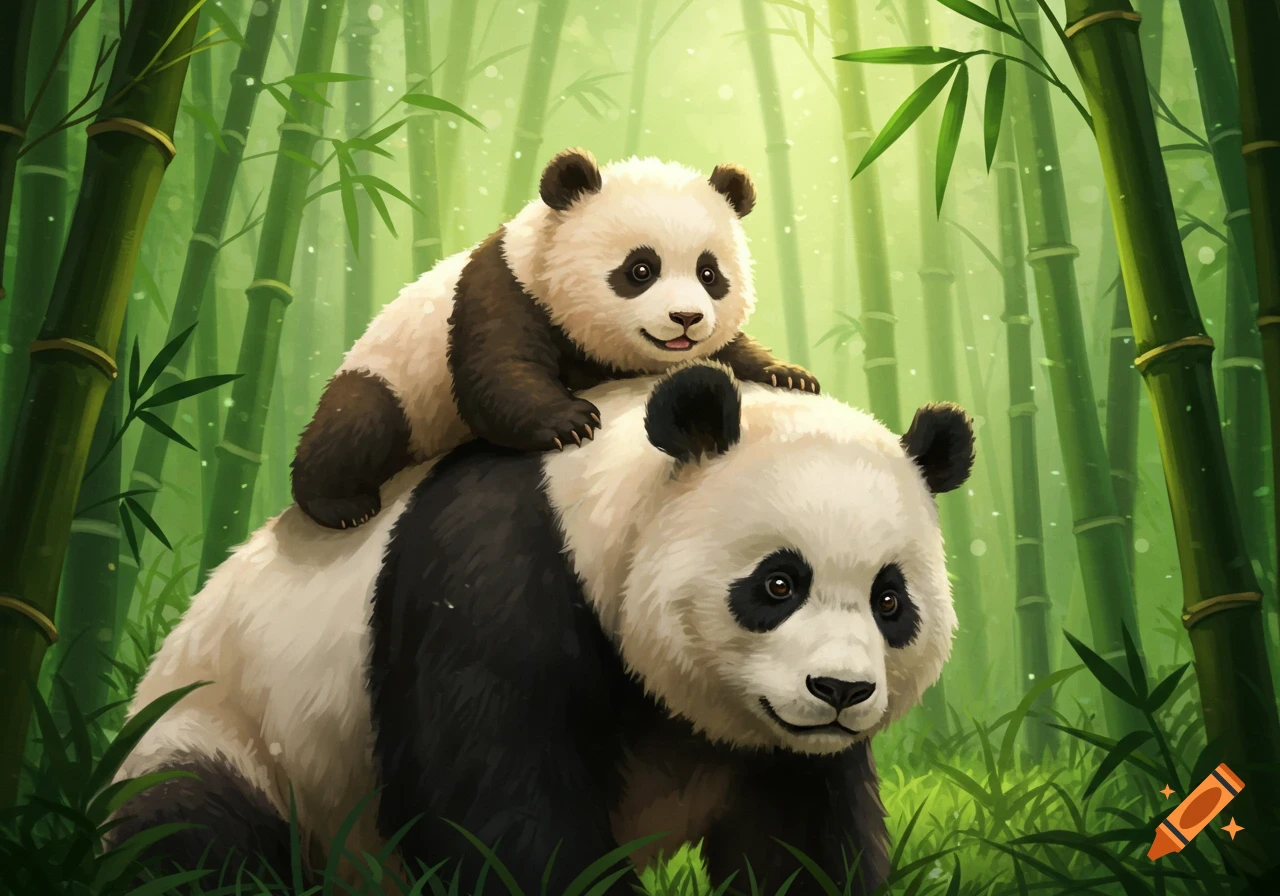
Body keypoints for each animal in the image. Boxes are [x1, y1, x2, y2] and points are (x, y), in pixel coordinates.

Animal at [112, 362, 973, 895]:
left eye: (890, 601)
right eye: (779, 583)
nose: (839, 691)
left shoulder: (786, 752)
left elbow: (801, 841)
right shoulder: (500, 580)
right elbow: (504, 811)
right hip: (228, 734)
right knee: (190, 835)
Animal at [291, 147, 819, 531]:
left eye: (709, 274)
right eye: (640, 270)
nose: (686, 318)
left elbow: (731, 349)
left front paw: (789, 374)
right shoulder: (503, 290)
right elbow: (497, 374)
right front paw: (570, 421)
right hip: (392, 379)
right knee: (358, 422)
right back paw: (341, 505)